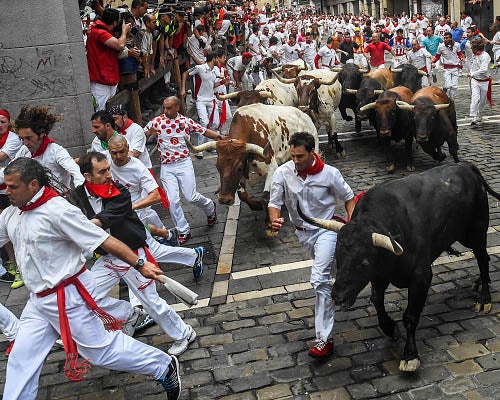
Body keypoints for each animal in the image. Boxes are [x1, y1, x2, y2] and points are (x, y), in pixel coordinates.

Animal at [186, 104, 318, 234]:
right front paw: (258, 206)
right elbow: (243, 196)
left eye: (239, 167)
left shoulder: (271, 167)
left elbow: (265, 197)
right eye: (217, 166)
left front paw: (269, 224)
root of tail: (304, 114)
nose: (224, 200)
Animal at [298, 162, 498, 372]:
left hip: (476, 232)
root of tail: (464, 165)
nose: (338, 297)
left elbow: (410, 316)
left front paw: (410, 356)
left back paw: (484, 298)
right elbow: (377, 301)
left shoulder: (421, 276)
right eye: (337, 257)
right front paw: (390, 328)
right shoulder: (379, 275)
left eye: (364, 263)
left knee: (483, 258)